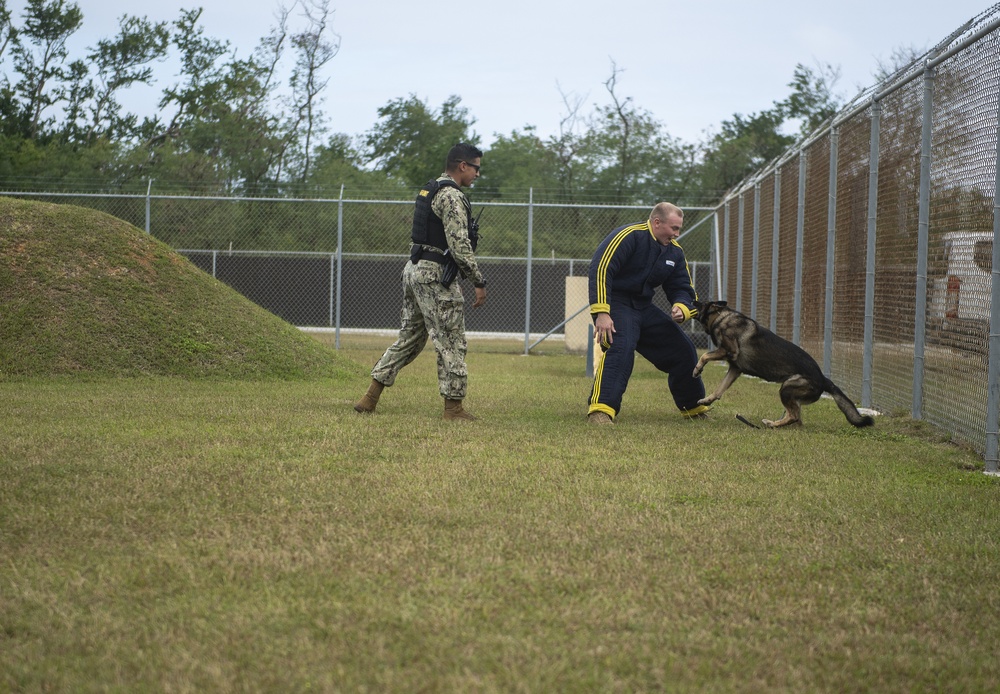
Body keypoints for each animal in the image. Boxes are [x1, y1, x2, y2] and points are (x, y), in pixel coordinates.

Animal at [692, 300, 872, 430]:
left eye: (700, 303)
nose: (693, 300)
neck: (721, 317)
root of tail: (823, 379)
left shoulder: (729, 351)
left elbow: (705, 355)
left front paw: (697, 369)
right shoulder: (735, 369)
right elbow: (719, 389)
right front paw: (707, 400)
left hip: (786, 388)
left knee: (793, 416)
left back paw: (771, 424)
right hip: (792, 394)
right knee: (797, 417)